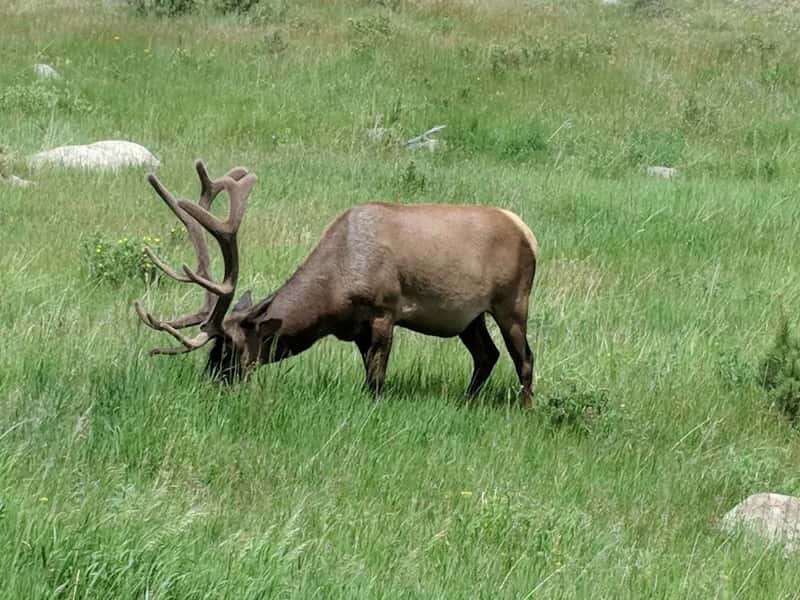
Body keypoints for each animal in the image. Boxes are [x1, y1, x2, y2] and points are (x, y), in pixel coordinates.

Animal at [134, 160, 539, 403]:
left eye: (229, 348)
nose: (211, 383)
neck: (333, 298)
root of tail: (526, 231)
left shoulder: (384, 311)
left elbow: (376, 381)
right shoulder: (355, 329)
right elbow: (368, 375)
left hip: (512, 302)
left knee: (525, 358)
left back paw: (525, 408)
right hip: (469, 317)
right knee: (486, 355)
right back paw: (467, 401)